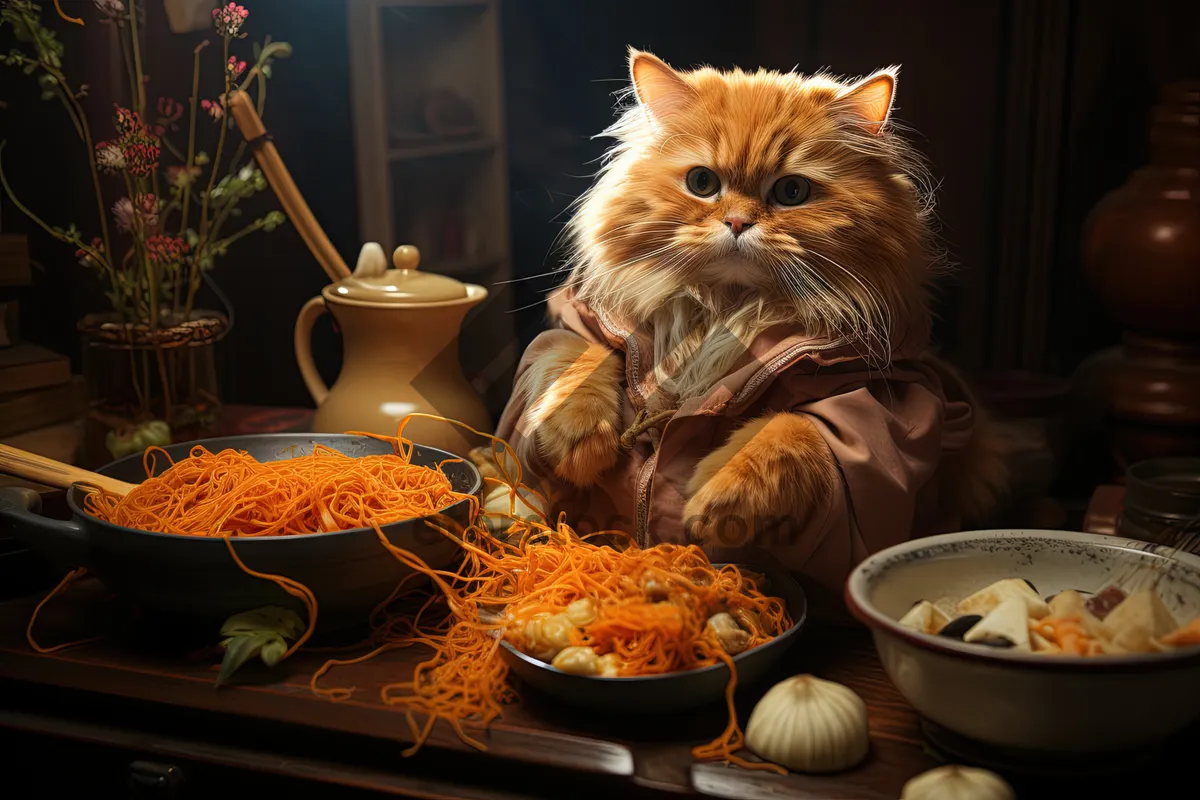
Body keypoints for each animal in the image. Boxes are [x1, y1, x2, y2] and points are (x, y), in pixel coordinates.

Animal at [492, 47, 1008, 594]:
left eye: (792, 191)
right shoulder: (584, 325)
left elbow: (794, 431)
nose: (738, 222)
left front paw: (717, 499)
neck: (725, 311)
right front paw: (581, 440)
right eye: (702, 183)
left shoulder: (886, 398)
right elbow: (574, 355)